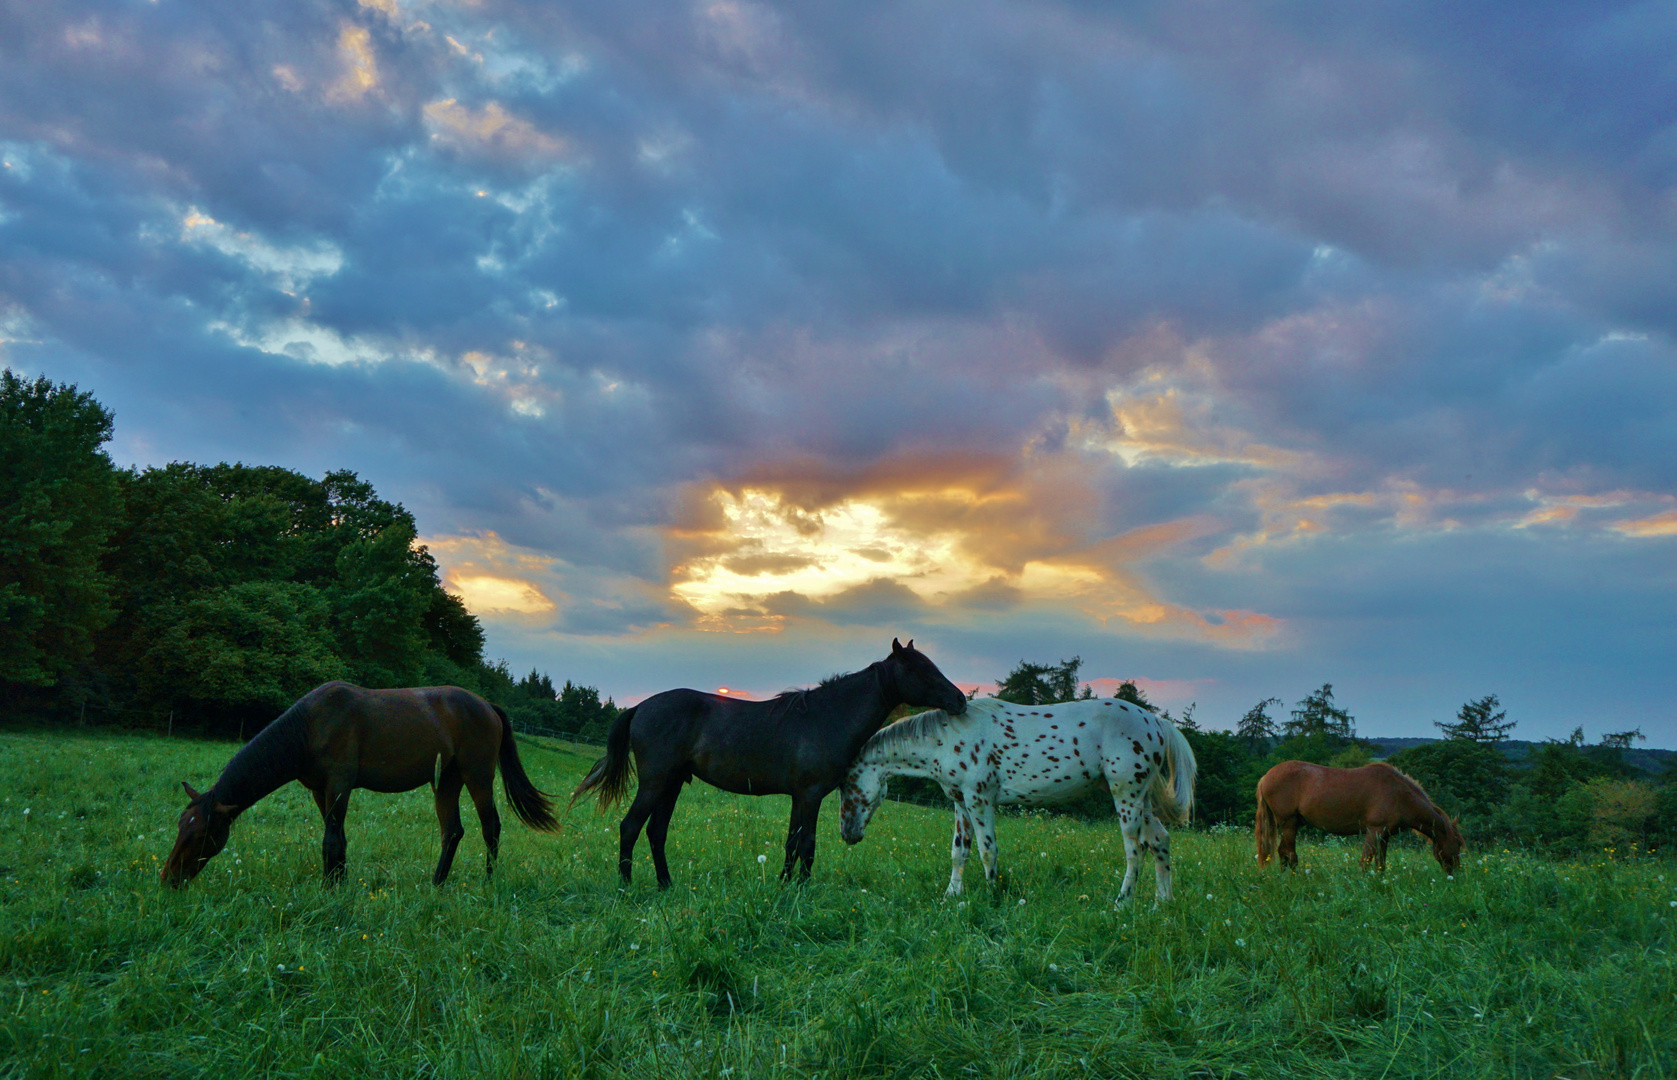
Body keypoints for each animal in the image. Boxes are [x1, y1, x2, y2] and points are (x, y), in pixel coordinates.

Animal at [157, 684, 553, 885]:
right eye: (180, 827)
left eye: (202, 834)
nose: (168, 879)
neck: (309, 726)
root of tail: (487, 705)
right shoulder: (319, 790)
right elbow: (337, 838)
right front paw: (340, 881)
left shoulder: (339, 785)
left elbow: (331, 839)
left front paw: (329, 887)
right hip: (447, 782)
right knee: (452, 831)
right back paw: (436, 883)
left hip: (478, 775)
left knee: (491, 827)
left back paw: (488, 881)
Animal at [576, 640, 972, 885]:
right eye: (921, 670)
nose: (960, 699)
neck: (826, 717)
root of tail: (641, 707)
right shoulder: (810, 795)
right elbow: (807, 845)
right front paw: (801, 890)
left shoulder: (800, 797)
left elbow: (792, 843)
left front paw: (783, 885)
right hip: (655, 783)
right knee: (630, 827)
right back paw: (628, 887)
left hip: (671, 784)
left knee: (656, 833)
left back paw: (666, 885)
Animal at [838, 690, 1194, 905]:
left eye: (847, 783)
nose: (847, 834)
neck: (949, 738)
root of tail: (1157, 722)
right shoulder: (959, 802)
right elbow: (958, 852)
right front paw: (951, 895)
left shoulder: (980, 799)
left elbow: (987, 851)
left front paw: (992, 894)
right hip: (1141, 799)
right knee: (1159, 840)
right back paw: (1162, 903)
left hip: (1127, 796)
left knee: (1135, 849)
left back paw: (1123, 902)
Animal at [1254, 758, 1462, 878]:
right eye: (1458, 844)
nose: (1457, 874)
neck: (1398, 794)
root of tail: (1265, 777)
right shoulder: (1374, 830)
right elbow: (1365, 862)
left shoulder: (1384, 836)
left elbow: (1380, 865)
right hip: (1289, 823)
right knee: (1288, 853)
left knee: (1283, 852)